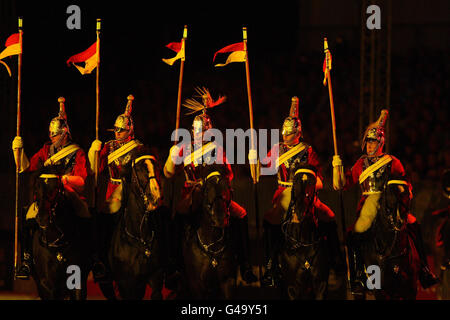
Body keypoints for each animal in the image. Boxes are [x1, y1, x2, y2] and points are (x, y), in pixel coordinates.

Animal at [107, 155, 167, 300]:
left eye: (157, 167)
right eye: (139, 170)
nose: (156, 196)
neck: (140, 238)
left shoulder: (155, 277)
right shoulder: (126, 284)